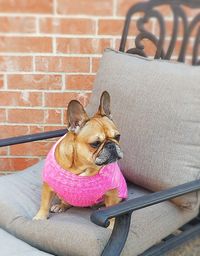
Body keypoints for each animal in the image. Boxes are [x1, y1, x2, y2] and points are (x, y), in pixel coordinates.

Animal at [32, 91, 126, 220]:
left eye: (117, 137)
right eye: (95, 143)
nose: (111, 145)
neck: (83, 167)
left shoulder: (112, 193)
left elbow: (112, 214)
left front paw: (111, 223)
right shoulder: (48, 185)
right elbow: (45, 203)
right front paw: (40, 217)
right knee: (66, 202)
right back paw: (61, 206)